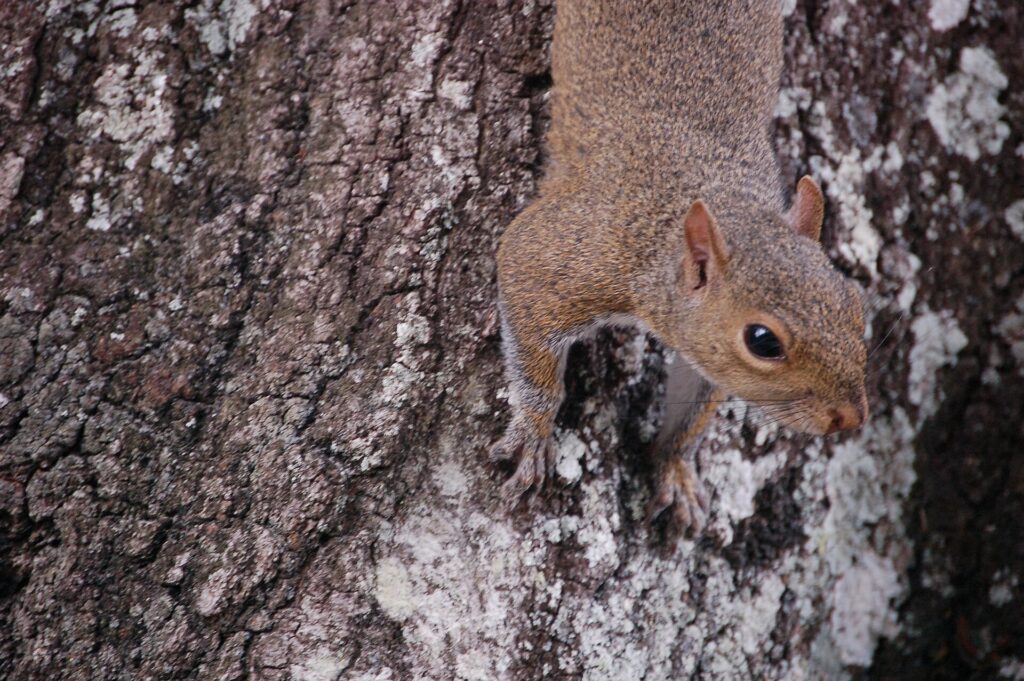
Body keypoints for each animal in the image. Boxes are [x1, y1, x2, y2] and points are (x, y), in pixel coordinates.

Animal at [492, 0, 869, 539]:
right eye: (763, 341)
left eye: (855, 306)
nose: (850, 418)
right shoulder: (574, 256)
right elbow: (523, 285)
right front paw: (533, 433)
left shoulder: (705, 357)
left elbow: (692, 405)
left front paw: (674, 466)